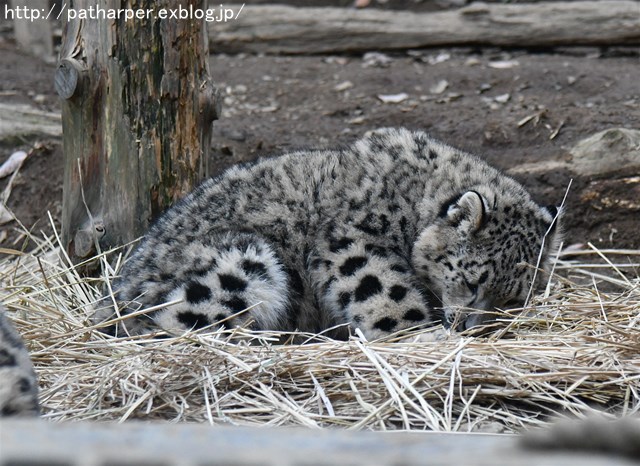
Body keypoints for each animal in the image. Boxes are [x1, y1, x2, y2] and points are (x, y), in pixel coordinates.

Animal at [95, 127, 560, 338]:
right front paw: (422, 338)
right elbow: (390, 300)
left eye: (514, 299)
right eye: (471, 281)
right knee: (167, 326)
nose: (475, 332)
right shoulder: (352, 244)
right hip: (241, 261)